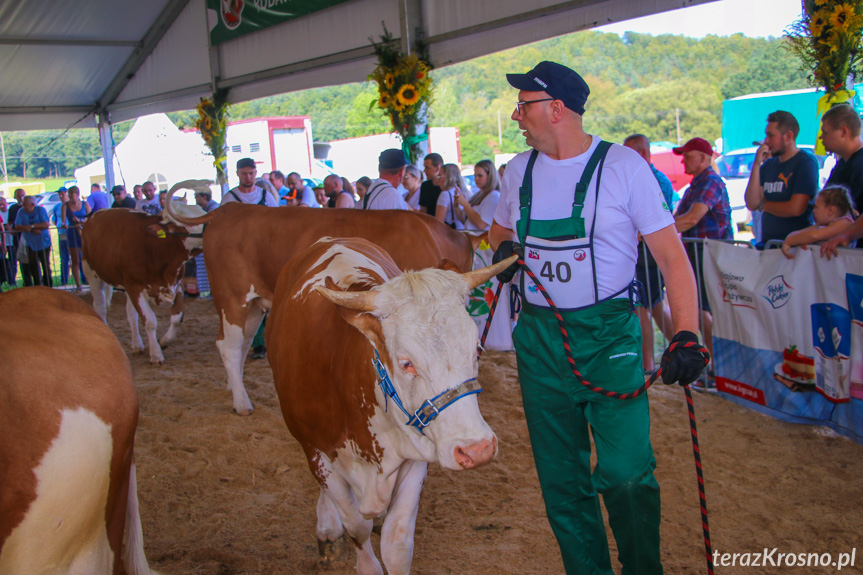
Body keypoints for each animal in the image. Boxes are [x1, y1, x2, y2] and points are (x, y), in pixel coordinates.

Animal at [83, 182, 207, 364]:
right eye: (186, 222)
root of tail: (96, 215)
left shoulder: (176, 285)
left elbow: (177, 318)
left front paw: (164, 341)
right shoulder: (135, 287)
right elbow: (150, 321)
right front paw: (156, 354)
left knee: (130, 314)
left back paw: (137, 345)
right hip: (92, 274)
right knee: (100, 307)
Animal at [164, 196, 480, 416]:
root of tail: (230, 207)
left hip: (252, 306)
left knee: (240, 345)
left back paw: (235, 386)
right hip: (232, 299)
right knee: (228, 346)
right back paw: (242, 403)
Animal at [266, 236, 516, 572]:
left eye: (476, 347)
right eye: (406, 362)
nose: (477, 449)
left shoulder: (416, 457)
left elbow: (397, 544)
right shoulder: (318, 453)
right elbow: (356, 527)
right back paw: (327, 528)